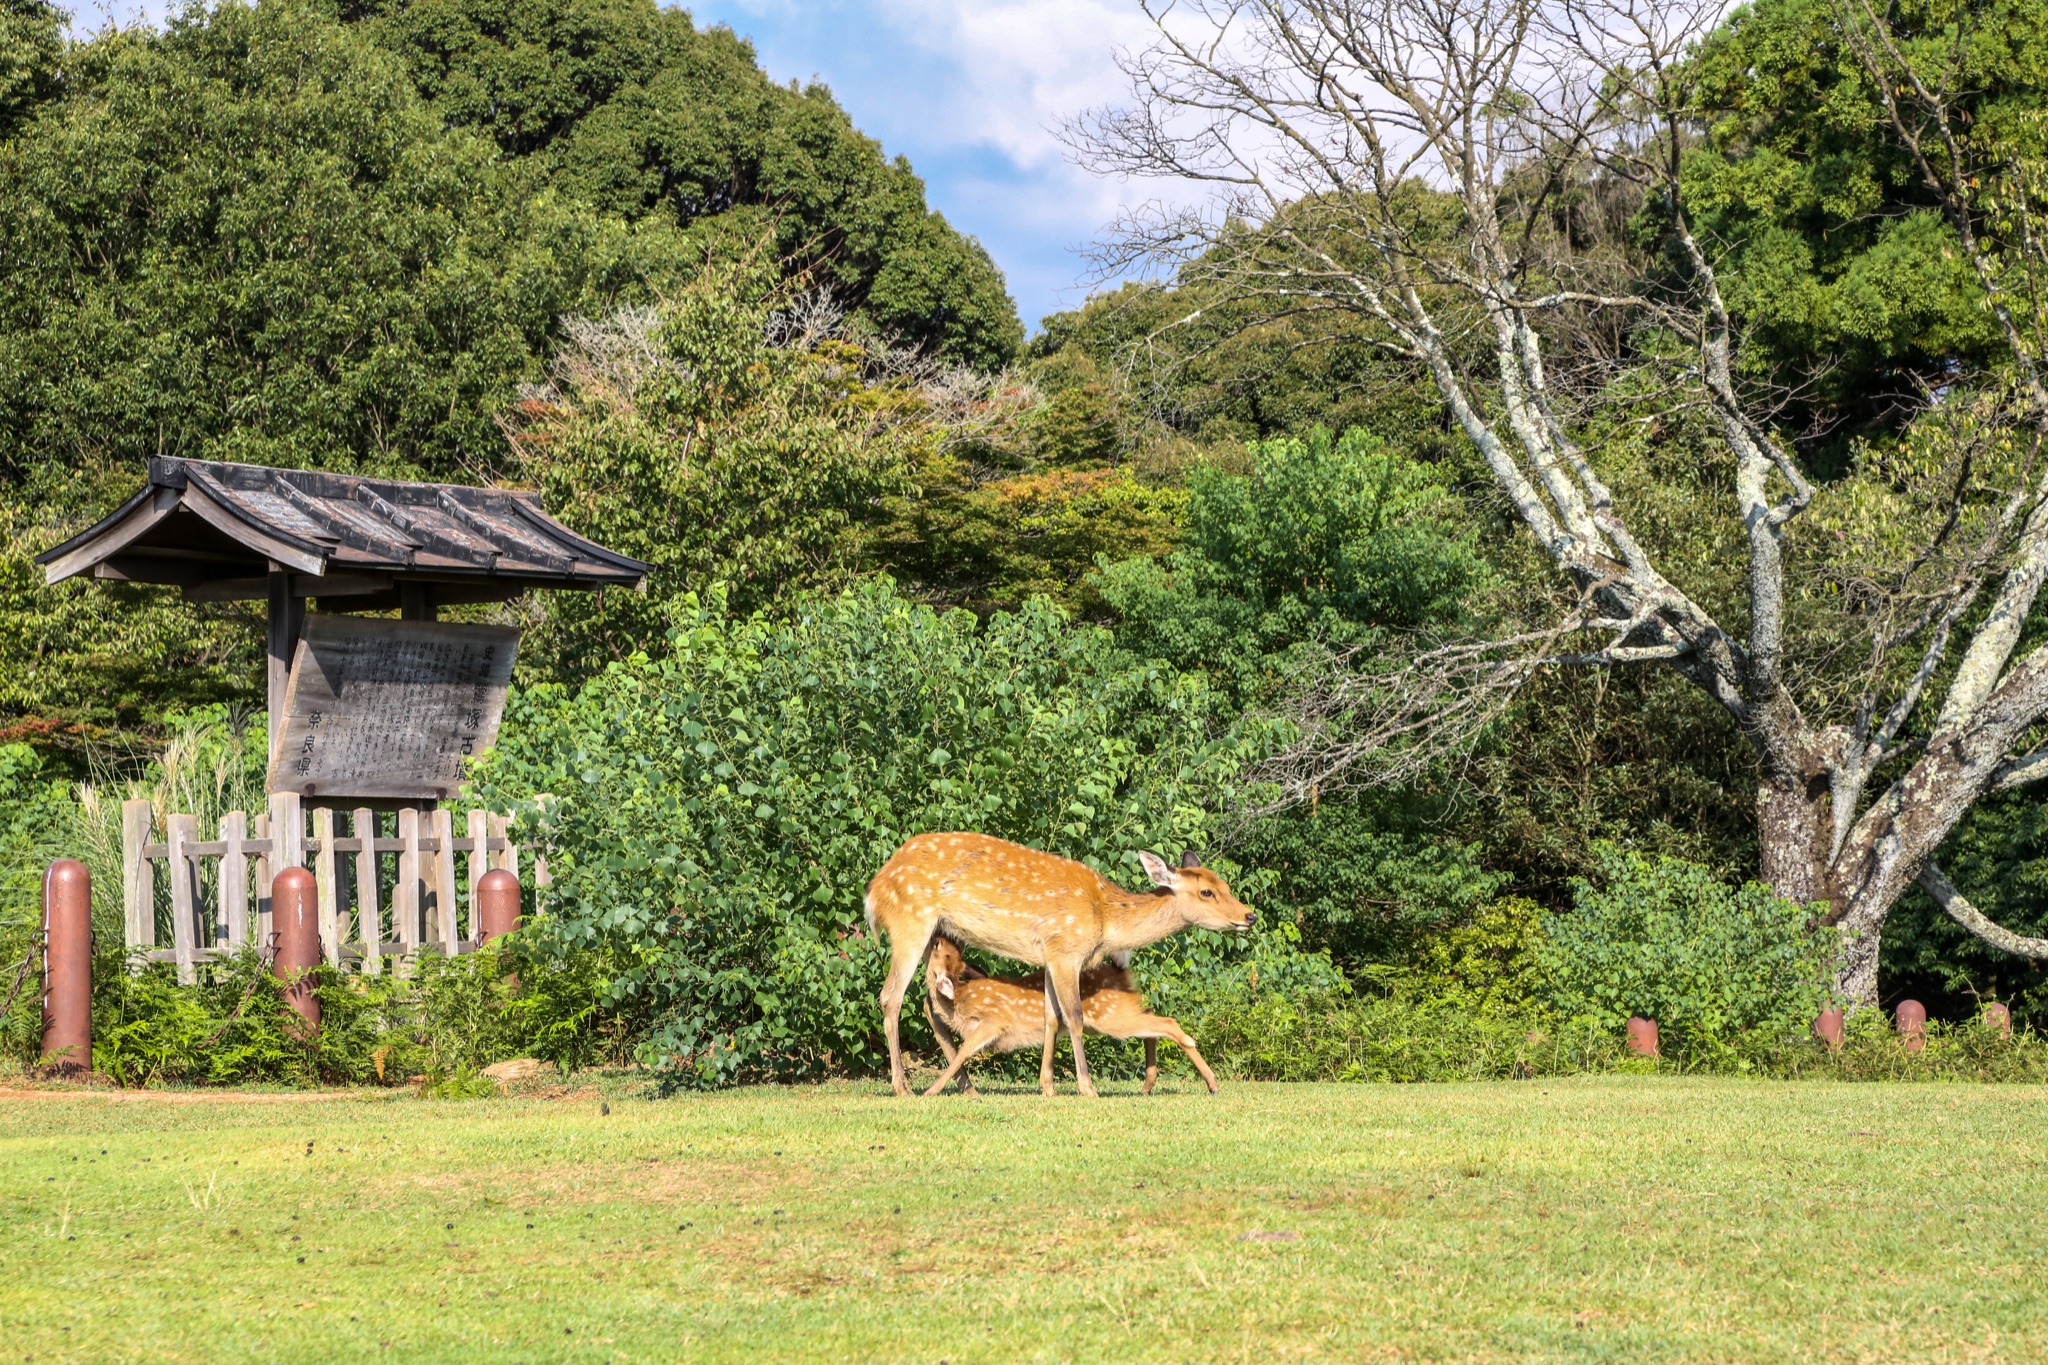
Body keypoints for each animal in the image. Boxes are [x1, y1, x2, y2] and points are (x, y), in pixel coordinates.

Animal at [925, 941, 1220, 1096]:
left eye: (944, 951)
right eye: (953, 952)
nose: (938, 936)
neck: (960, 1000)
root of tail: (1119, 971)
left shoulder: (994, 1021)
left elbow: (961, 1053)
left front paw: (931, 1090)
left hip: (1111, 1016)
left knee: (1168, 1023)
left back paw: (1212, 1084)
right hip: (1115, 1015)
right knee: (1152, 1021)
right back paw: (1147, 1086)